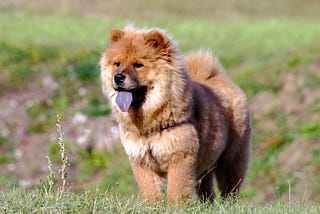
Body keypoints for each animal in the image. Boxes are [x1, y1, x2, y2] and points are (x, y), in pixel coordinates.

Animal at [99, 26, 251, 202]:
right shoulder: (142, 161)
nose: (118, 77)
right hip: (205, 164)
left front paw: (174, 205)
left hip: (231, 158)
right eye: (117, 64)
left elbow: (175, 191)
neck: (148, 124)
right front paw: (153, 206)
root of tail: (219, 78)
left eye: (138, 65)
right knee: (207, 191)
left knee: (229, 189)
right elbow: (150, 191)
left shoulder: (180, 158)